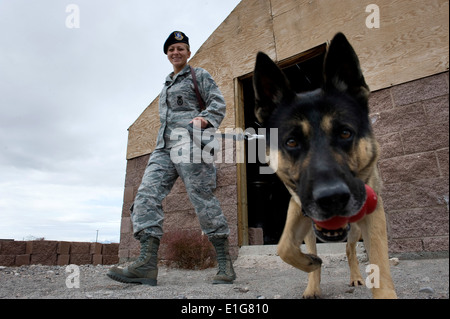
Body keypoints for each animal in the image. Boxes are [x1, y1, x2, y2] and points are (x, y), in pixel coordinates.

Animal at [253, 33, 398, 298]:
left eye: (345, 133)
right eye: (291, 142)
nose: (332, 198)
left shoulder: (373, 214)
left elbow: (380, 265)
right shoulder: (297, 206)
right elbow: (283, 247)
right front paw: (309, 263)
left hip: (356, 227)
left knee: (351, 249)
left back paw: (356, 276)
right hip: (312, 227)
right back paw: (313, 282)